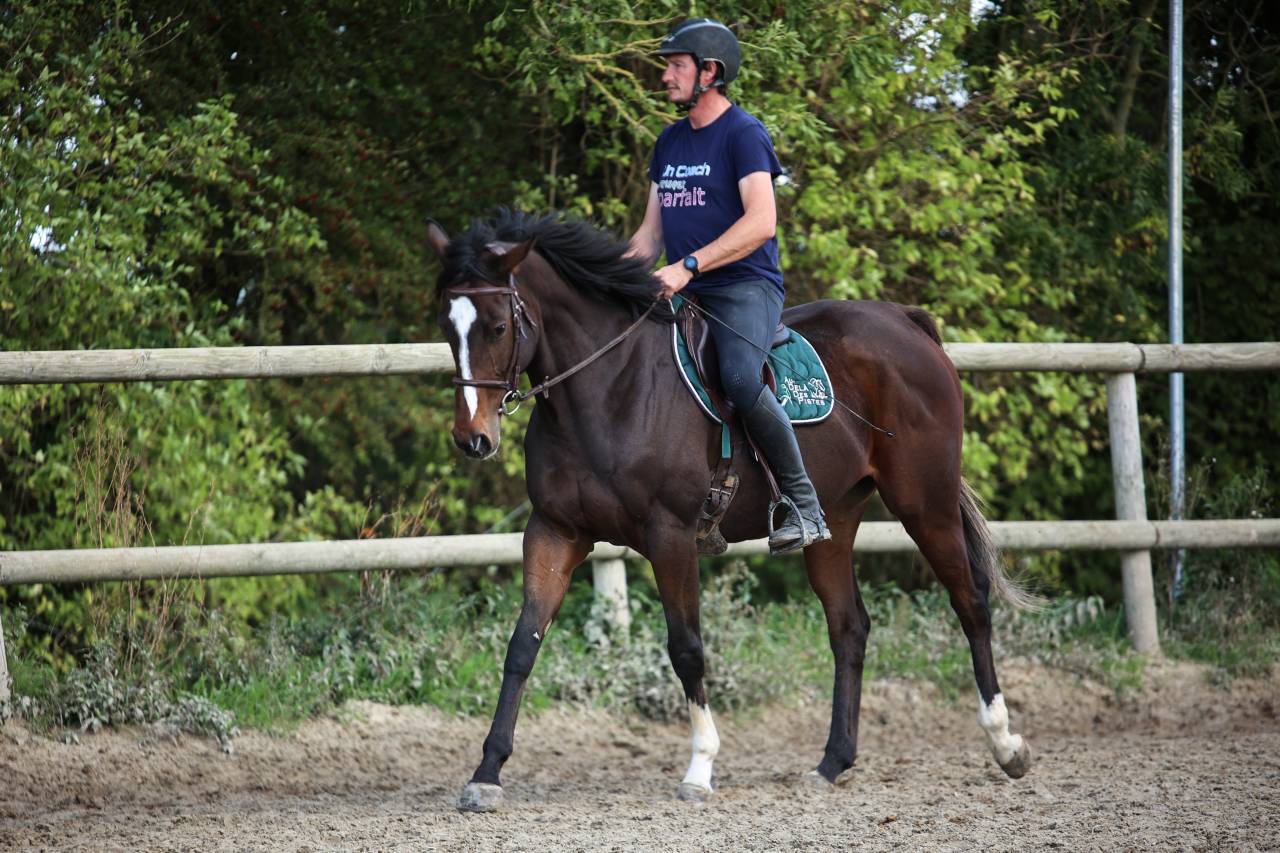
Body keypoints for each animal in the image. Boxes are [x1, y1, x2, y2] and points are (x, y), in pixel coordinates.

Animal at [427, 209, 1033, 813]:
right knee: (849, 627)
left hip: (925, 503)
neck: (609, 388)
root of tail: (905, 323)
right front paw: (486, 773)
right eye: (447, 327)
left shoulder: (670, 536)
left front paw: (700, 768)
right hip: (836, 520)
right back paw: (832, 763)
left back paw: (1006, 745)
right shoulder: (554, 532)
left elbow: (687, 648)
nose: (473, 439)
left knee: (970, 602)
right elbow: (522, 644)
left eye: (497, 327)